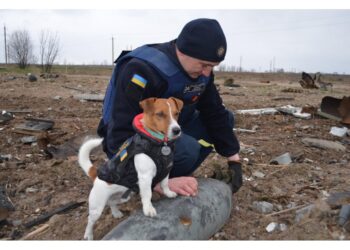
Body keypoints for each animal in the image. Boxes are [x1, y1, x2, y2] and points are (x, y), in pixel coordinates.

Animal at [78, 97, 183, 240]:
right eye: (160, 114)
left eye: (177, 113)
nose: (177, 130)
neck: (160, 144)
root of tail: (96, 176)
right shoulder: (145, 177)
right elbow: (147, 194)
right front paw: (148, 209)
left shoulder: (166, 170)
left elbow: (165, 183)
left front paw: (168, 193)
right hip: (97, 207)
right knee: (90, 220)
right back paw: (88, 235)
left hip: (122, 197)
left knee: (112, 202)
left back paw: (116, 213)